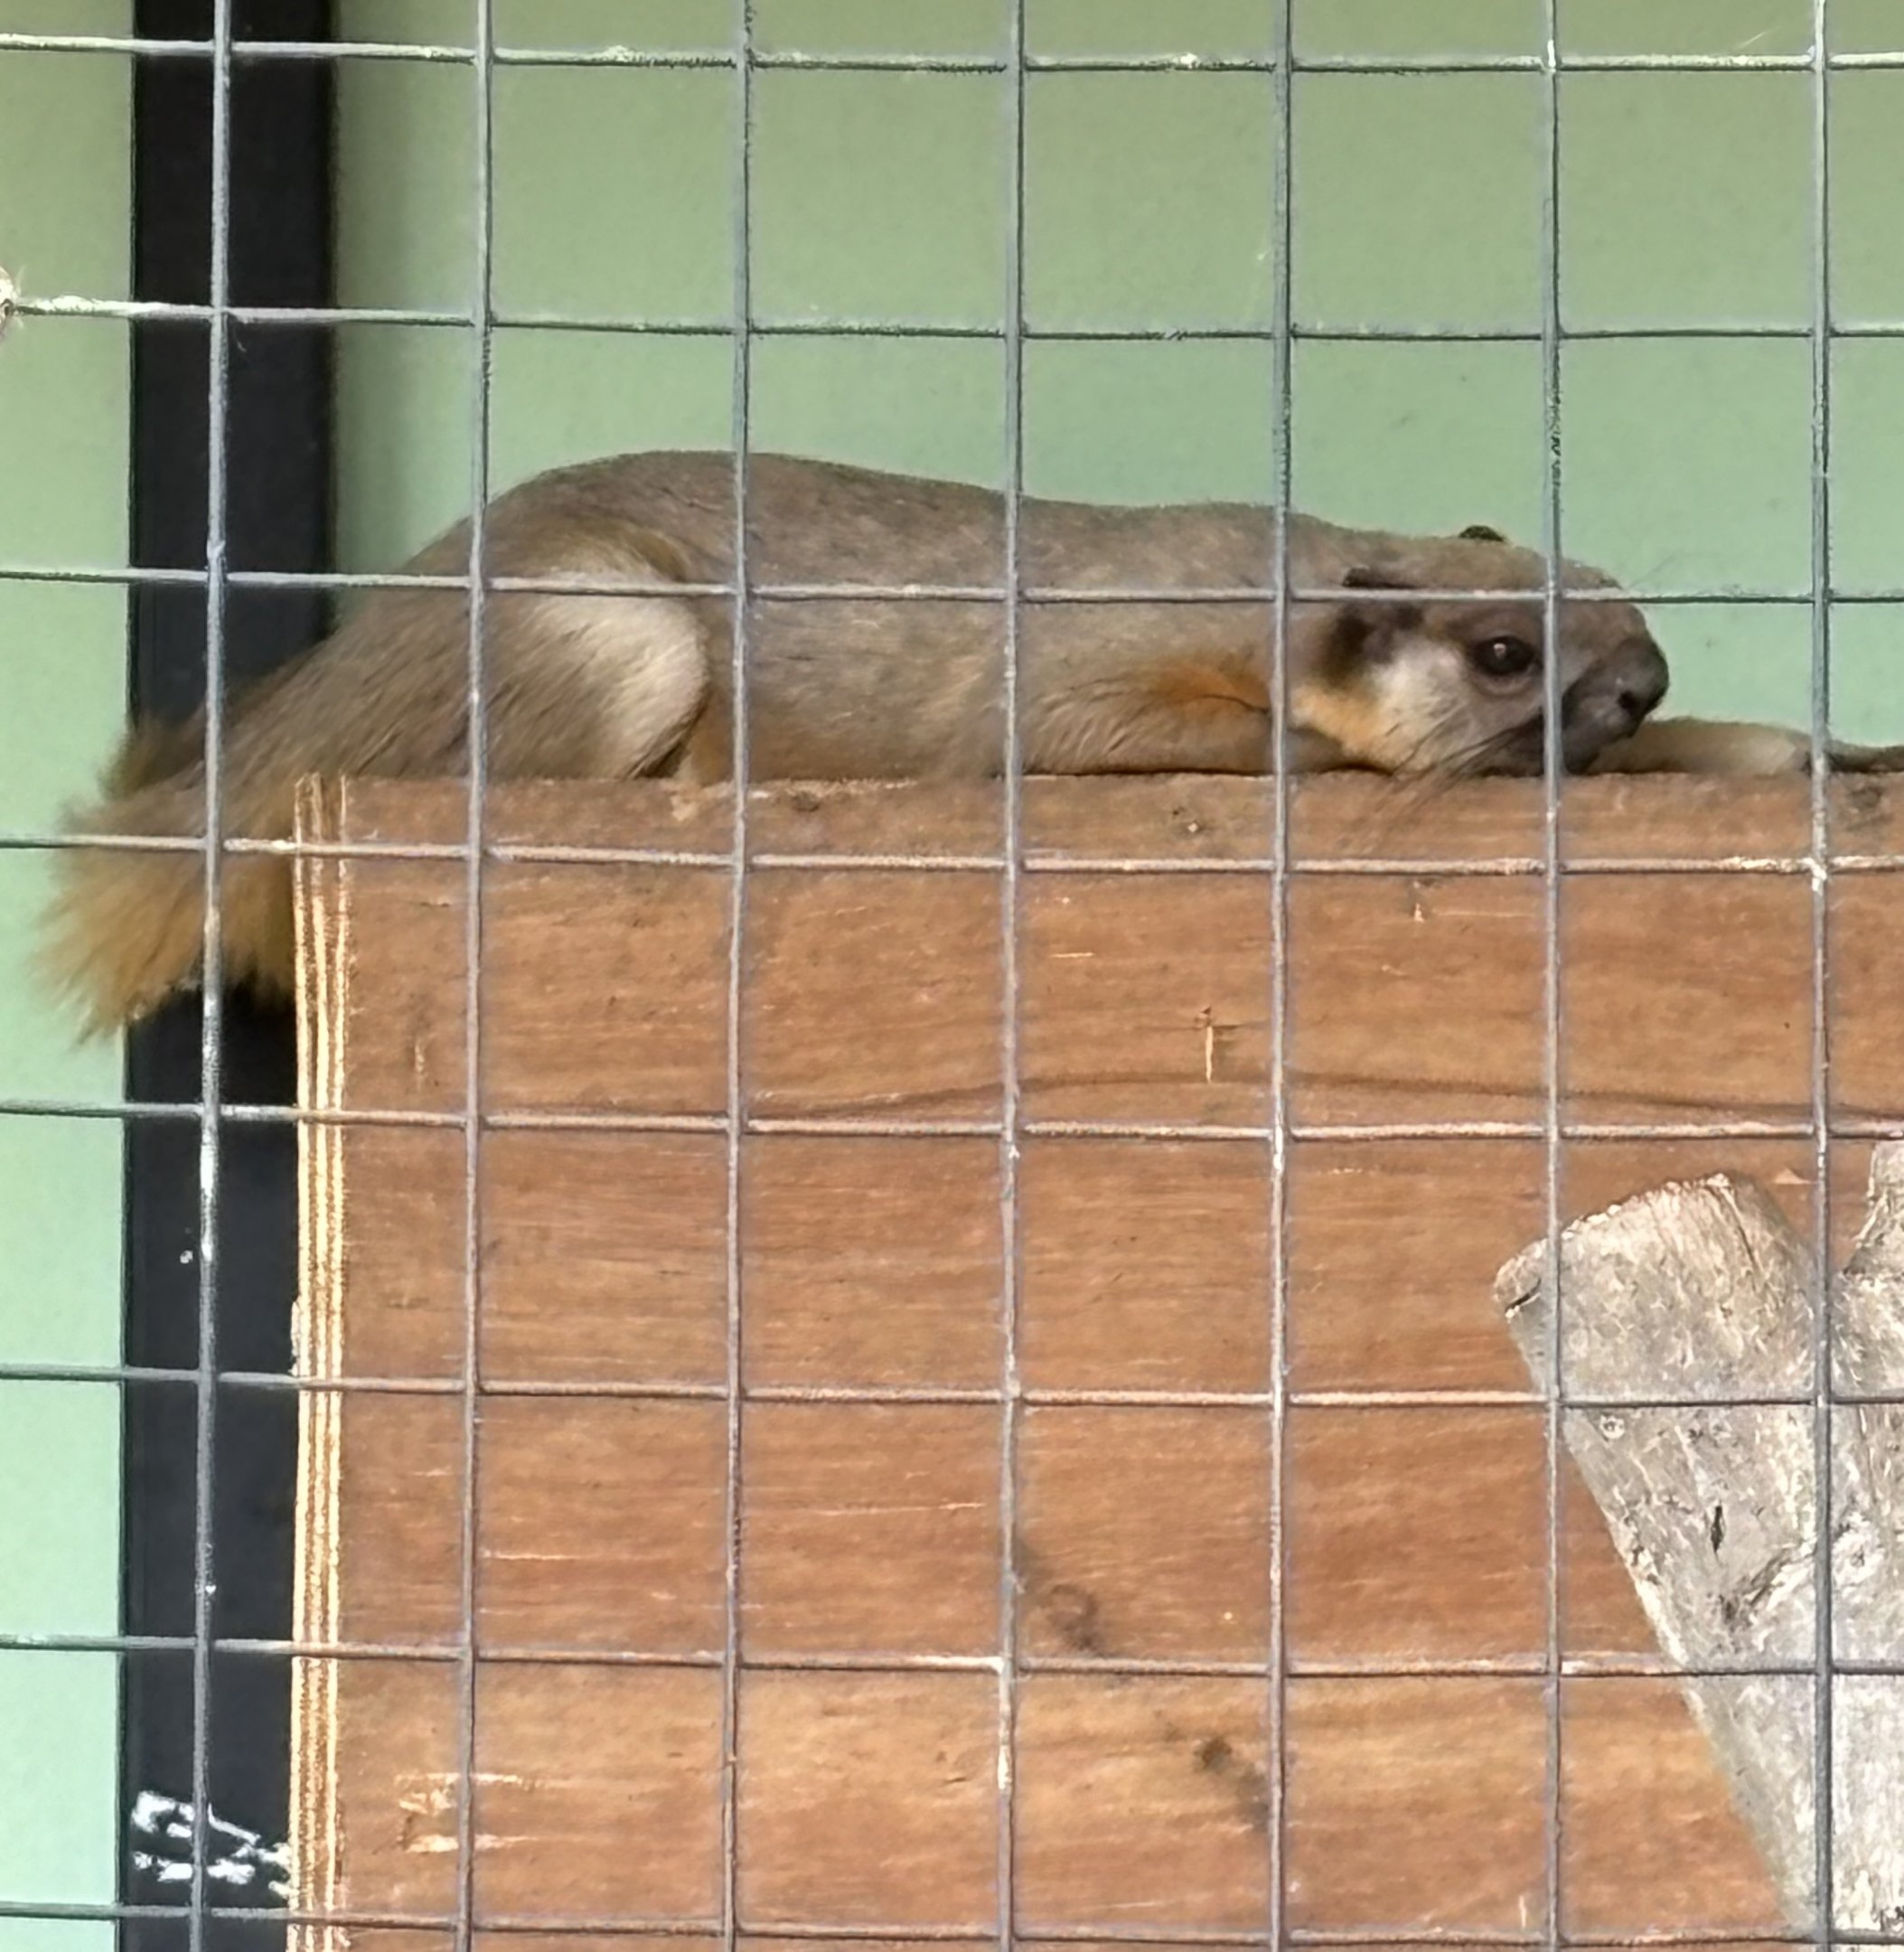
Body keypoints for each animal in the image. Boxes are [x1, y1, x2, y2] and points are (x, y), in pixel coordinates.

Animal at [36, 449, 1904, 1037]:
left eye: (1619, 594)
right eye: (1506, 651)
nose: (1642, 679)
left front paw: (1822, 750)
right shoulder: (1077, 688)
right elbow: (1272, 752)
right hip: (620, 640)